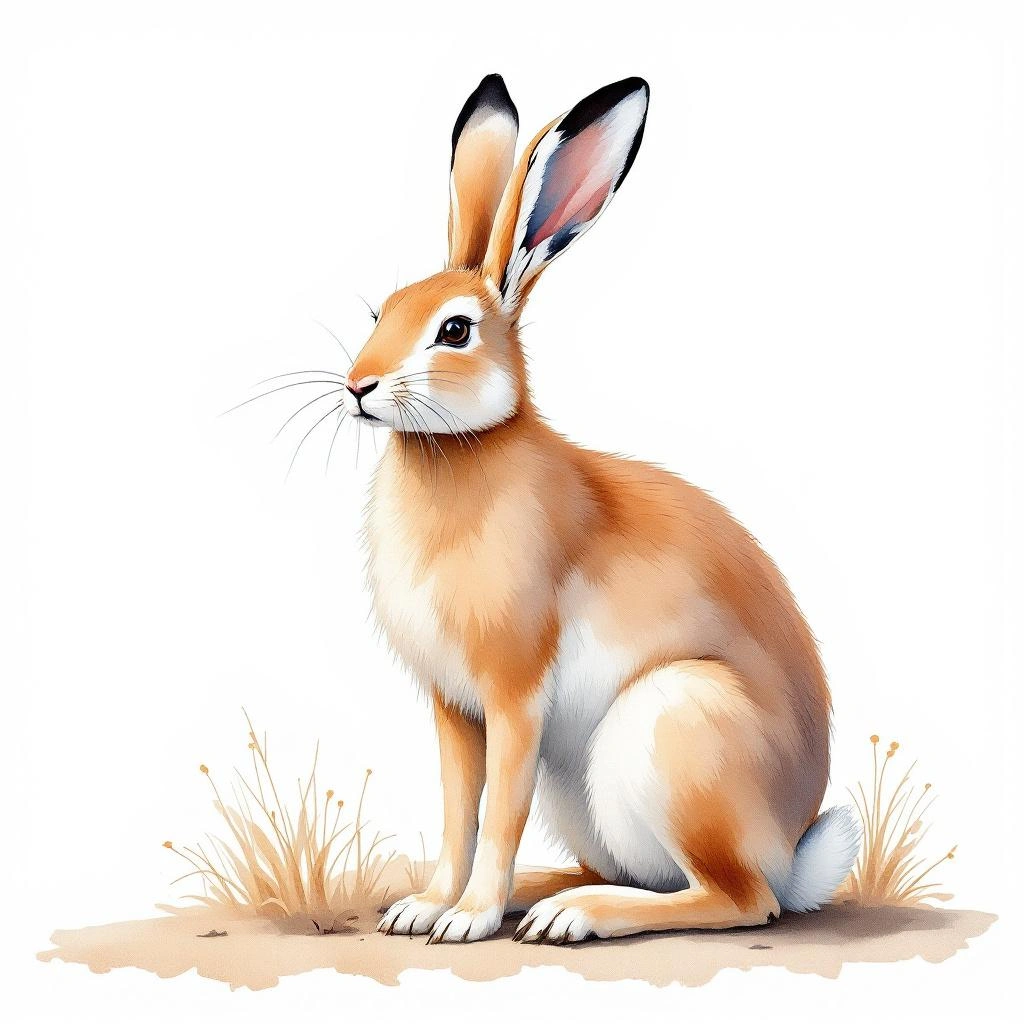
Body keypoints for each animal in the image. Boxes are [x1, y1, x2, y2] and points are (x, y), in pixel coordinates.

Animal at [339, 74, 861, 945]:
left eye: (455, 330)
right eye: (382, 312)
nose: (358, 387)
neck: (461, 452)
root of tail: (794, 853)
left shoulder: (515, 694)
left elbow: (497, 809)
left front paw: (466, 920)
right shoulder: (454, 707)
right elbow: (458, 810)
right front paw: (427, 907)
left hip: (668, 730)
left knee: (734, 899)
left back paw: (571, 916)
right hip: (583, 787)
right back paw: (545, 893)